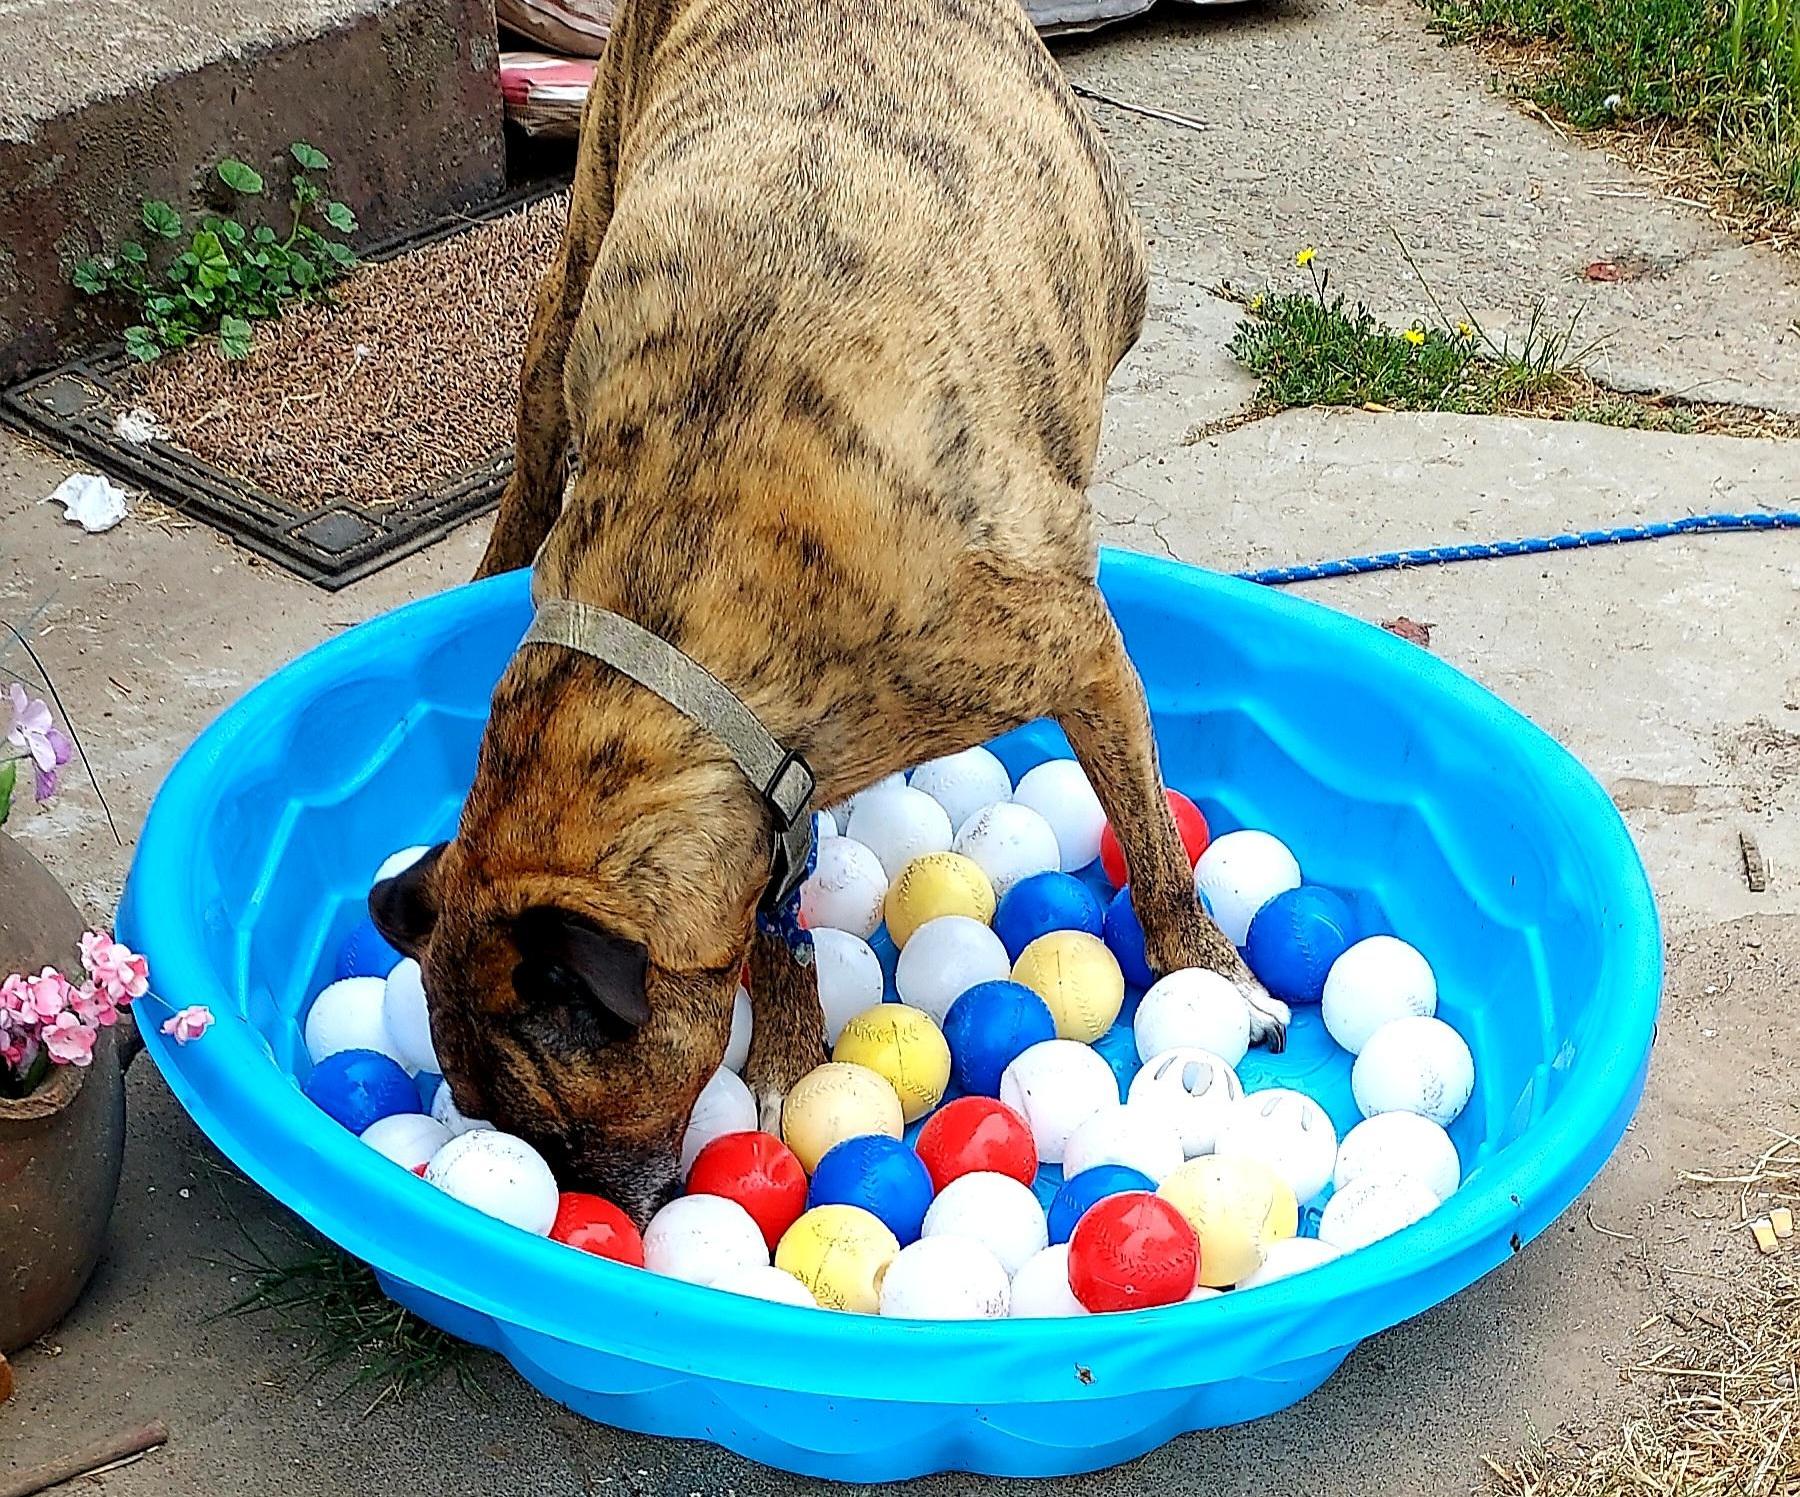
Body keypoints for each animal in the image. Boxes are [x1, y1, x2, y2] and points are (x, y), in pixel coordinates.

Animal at [372, 0, 1288, 1230]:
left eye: (555, 1127)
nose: (591, 1224)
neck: (690, 590)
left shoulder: (1080, 658)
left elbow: (1153, 848)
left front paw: (1210, 972)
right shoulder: (763, 806)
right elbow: (768, 932)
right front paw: (786, 1061)